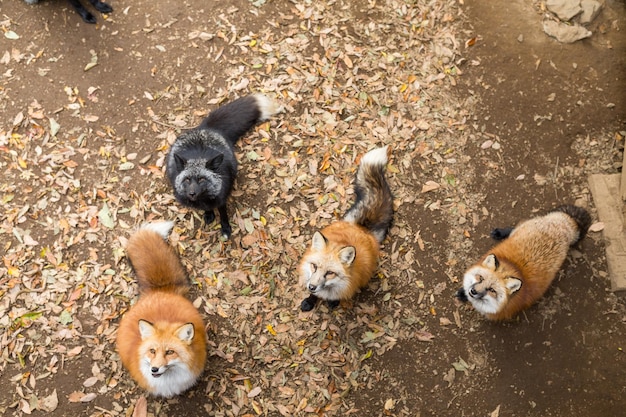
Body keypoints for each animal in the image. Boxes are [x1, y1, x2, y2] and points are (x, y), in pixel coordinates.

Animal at [296, 145, 390, 310]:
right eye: (314, 266)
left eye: (330, 273)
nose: (311, 287)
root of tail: (359, 227)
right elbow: (314, 296)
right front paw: (310, 300)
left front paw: (332, 302)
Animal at [454, 204, 588, 318]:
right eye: (480, 278)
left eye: (492, 290)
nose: (473, 291)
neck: (513, 267)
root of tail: (564, 225)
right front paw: (464, 293)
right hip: (520, 228)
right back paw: (500, 233)